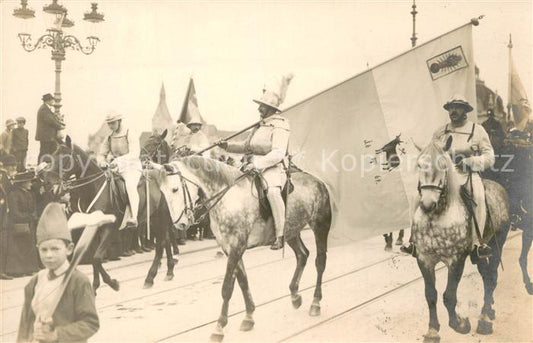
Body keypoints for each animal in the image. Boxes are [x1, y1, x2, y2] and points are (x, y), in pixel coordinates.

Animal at [160, 157, 330, 342]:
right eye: (163, 192)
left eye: (175, 189)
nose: (180, 224)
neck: (228, 198)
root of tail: (318, 181)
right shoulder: (230, 249)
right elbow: (243, 281)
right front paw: (249, 317)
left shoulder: (236, 247)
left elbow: (227, 288)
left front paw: (219, 327)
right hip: (291, 231)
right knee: (302, 255)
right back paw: (295, 295)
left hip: (320, 226)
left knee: (320, 262)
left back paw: (315, 302)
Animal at [414, 140, 510, 343]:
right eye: (419, 165)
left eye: (444, 165)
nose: (427, 204)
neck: (437, 217)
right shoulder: (424, 259)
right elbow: (431, 295)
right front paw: (432, 331)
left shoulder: (456, 260)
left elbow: (449, 296)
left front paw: (459, 324)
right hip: (479, 254)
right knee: (486, 277)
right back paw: (489, 311)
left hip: (498, 244)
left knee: (492, 277)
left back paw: (484, 319)